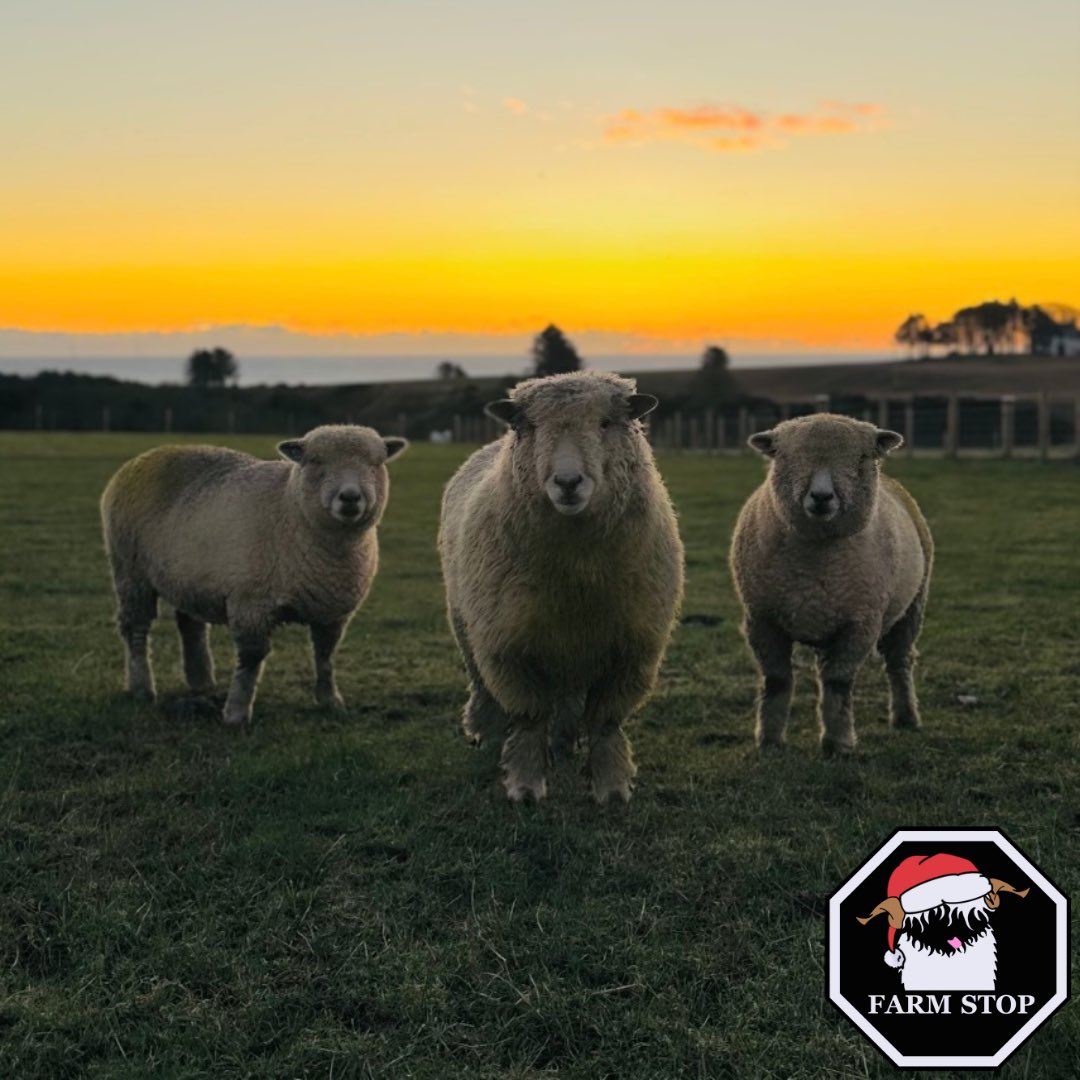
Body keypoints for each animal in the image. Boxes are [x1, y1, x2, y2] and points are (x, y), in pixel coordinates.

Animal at [100, 425, 408, 725]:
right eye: (315, 461)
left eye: (376, 463)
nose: (350, 497)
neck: (290, 510)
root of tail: (148, 454)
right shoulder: (251, 603)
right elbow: (252, 657)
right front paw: (236, 712)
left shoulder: (332, 610)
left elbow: (325, 654)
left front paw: (330, 701)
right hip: (130, 569)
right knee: (135, 628)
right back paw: (142, 688)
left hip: (187, 576)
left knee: (190, 625)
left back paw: (201, 681)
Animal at [438, 371, 684, 803]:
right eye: (529, 426)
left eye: (606, 423)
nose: (568, 483)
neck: (577, 573)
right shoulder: (508, 647)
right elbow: (530, 717)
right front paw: (525, 784)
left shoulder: (633, 649)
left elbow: (605, 722)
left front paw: (612, 785)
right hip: (468, 628)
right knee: (483, 688)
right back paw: (487, 736)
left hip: (568, 650)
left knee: (568, 702)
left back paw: (563, 744)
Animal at [729, 413, 933, 753]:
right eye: (785, 456)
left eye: (862, 457)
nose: (822, 496)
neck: (818, 554)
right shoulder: (762, 620)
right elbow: (776, 680)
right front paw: (769, 739)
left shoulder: (859, 625)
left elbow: (838, 683)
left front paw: (838, 742)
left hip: (912, 606)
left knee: (899, 662)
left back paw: (906, 717)